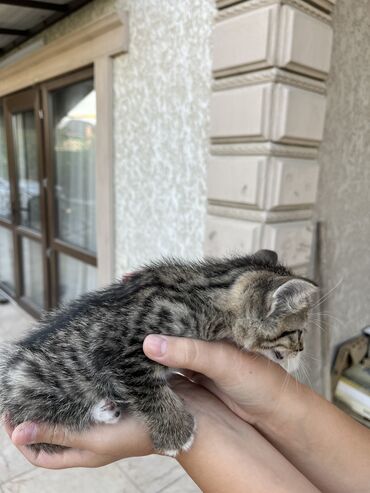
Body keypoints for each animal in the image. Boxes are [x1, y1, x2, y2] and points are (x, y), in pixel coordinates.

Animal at [0, 252, 318, 456]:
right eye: (298, 332)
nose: (302, 349)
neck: (205, 290)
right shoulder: (125, 351)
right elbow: (151, 391)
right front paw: (176, 433)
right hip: (33, 385)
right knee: (44, 423)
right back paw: (101, 410)